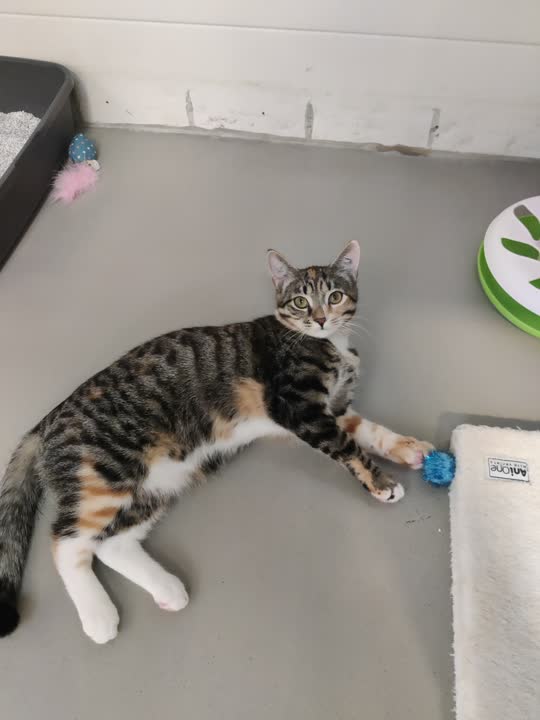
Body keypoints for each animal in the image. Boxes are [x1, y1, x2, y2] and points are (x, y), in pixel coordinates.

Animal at [0, 241, 432, 644]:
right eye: (300, 301)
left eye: (335, 296)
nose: (321, 319)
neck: (327, 344)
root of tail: (51, 417)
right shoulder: (298, 409)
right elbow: (348, 447)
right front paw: (382, 483)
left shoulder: (335, 409)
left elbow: (369, 431)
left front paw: (409, 448)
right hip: (105, 474)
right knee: (66, 541)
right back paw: (98, 617)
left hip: (160, 482)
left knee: (111, 542)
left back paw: (168, 590)